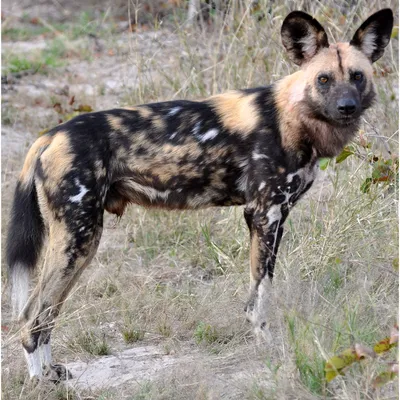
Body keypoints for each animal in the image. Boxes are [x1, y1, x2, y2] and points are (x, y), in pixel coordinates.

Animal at [7, 7, 394, 380]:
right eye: (323, 79)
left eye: (357, 76)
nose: (347, 107)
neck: (293, 117)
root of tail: (50, 135)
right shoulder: (264, 214)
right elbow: (260, 295)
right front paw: (269, 346)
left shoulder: (272, 217)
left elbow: (261, 287)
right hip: (78, 238)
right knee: (30, 315)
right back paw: (39, 380)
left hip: (81, 245)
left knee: (46, 314)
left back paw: (50, 373)